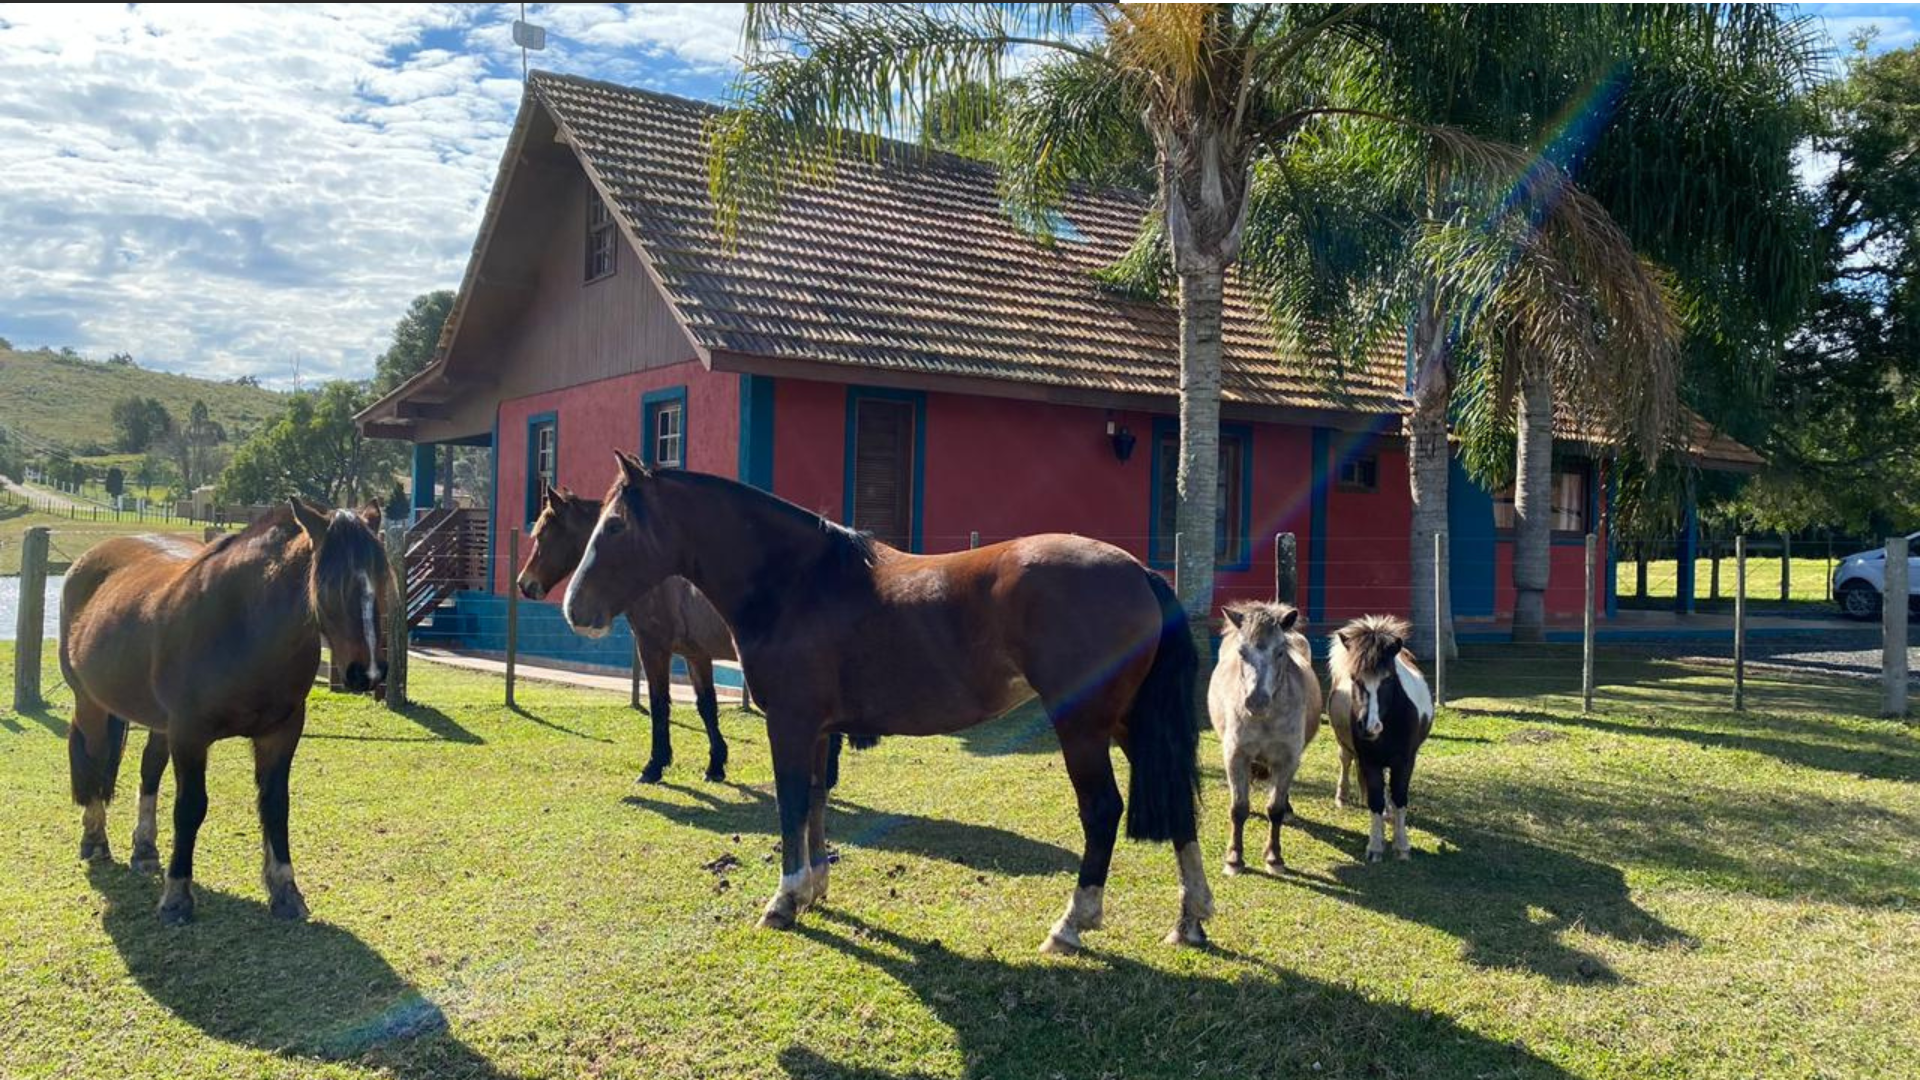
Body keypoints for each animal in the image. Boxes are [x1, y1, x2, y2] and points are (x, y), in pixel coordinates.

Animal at [60, 499, 389, 922]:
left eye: (383, 580)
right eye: (331, 584)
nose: (367, 673)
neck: (243, 630)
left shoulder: (281, 734)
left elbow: (275, 805)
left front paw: (286, 892)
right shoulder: (190, 734)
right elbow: (190, 808)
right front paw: (176, 897)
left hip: (159, 723)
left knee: (149, 771)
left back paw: (145, 850)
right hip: (91, 704)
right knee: (93, 759)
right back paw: (95, 839)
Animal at [518, 484, 748, 776]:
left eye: (543, 535)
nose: (524, 583)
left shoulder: (652, 648)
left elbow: (659, 703)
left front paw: (655, 764)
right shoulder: (695, 654)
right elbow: (706, 704)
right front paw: (716, 764)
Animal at [560, 453, 1205, 949]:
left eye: (613, 526)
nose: (574, 609)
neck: (798, 582)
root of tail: (1140, 571)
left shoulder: (789, 725)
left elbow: (791, 804)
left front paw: (783, 899)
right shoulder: (818, 730)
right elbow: (816, 802)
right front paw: (814, 889)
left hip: (1083, 727)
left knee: (1102, 811)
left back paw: (1072, 923)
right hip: (1128, 723)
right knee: (1176, 803)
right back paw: (1191, 918)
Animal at [1328, 614, 1436, 857]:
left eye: (1388, 679)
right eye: (1354, 678)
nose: (1370, 726)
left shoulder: (1405, 762)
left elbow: (1399, 798)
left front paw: (1402, 845)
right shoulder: (1370, 761)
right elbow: (1375, 800)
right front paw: (1375, 847)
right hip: (1345, 745)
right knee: (1345, 761)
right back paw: (1343, 797)